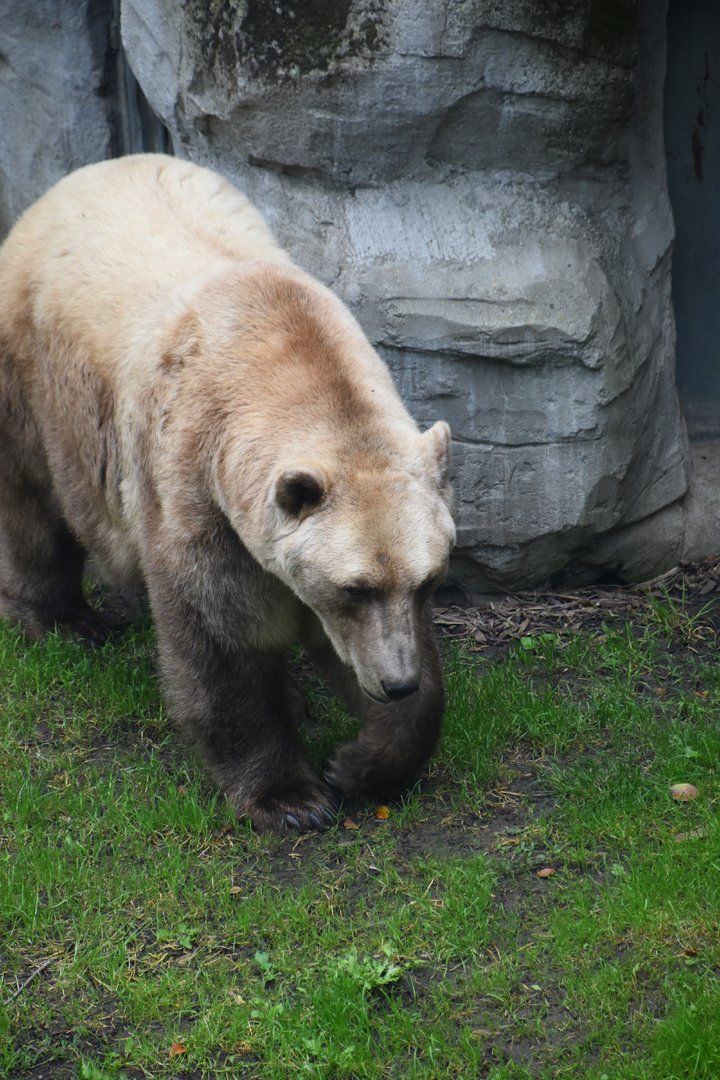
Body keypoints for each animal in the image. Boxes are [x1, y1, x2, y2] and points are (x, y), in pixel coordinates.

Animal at [0, 154, 455, 832]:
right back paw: (64, 619)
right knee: (33, 503)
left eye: (428, 580)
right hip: (37, 385)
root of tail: (68, 183)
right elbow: (220, 636)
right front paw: (291, 798)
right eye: (355, 587)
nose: (395, 682)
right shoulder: (196, 492)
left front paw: (363, 761)